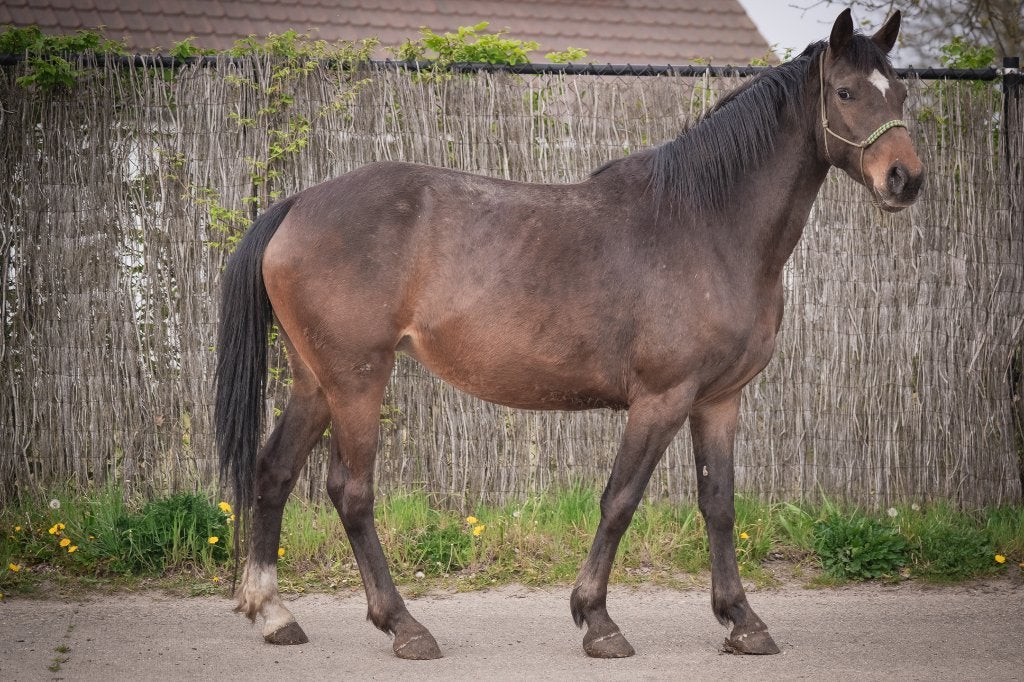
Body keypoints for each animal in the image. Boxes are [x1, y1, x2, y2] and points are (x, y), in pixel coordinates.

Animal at [215, 8, 924, 659]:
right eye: (846, 92)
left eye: (900, 92)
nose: (906, 179)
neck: (707, 225)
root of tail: (298, 205)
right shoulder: (661, 399)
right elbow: (620, 500)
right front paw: (598, 621)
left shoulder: (720, 400)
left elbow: (719, 503)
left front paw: (743, 621)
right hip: (357, 380)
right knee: (352, 492)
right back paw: (405, 626)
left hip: (316, 381)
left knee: (274, 472)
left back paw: (273, 613)